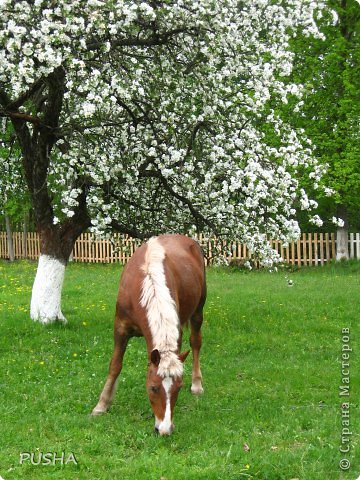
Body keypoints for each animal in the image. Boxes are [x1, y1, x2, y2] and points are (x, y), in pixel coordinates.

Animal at [91, 232, 207, 436]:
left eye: (178, 387)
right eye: (153, 388)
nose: (165, 429)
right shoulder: (120, 328)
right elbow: (115, 365)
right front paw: (102, 404)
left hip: (198, 311)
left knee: (195, 342)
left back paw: (197, 384)